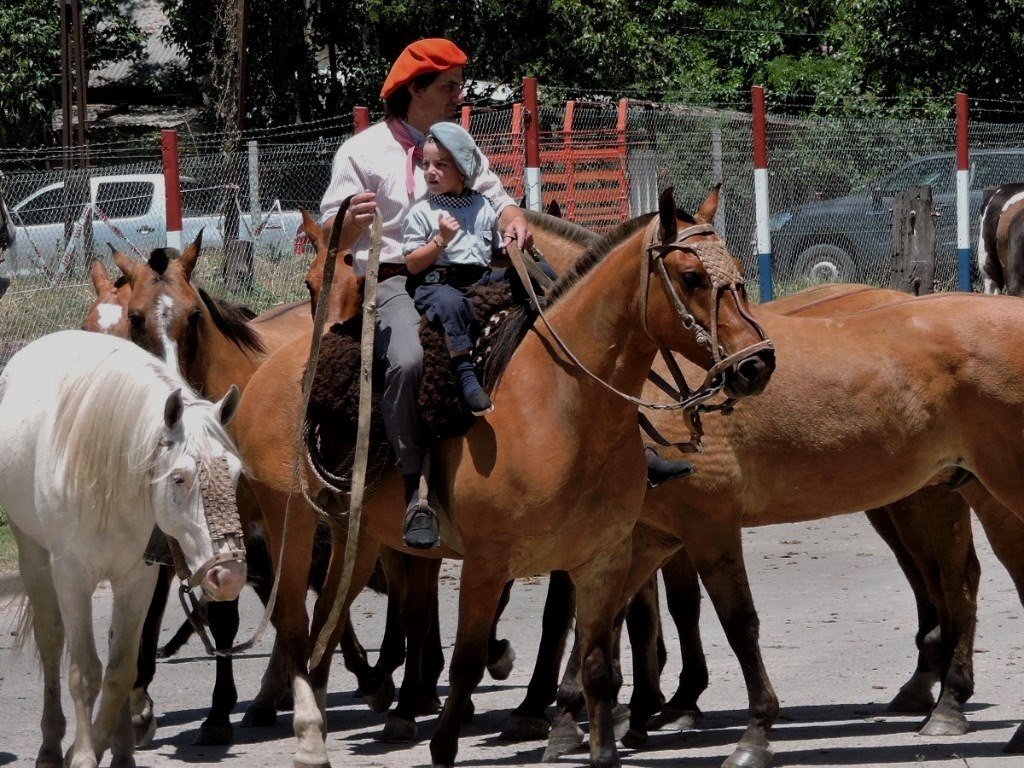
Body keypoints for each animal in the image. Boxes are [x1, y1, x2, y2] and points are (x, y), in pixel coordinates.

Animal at [0, 331, 246, 768]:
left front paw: (107, 748)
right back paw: (50, 748)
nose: (229, 574)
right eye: (179, 478)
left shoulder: (137, 578)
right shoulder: (71, 576)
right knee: (51, 643)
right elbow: (84, 672)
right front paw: (80, 755)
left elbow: (120, 670)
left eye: (234, 474)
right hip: (32, 553)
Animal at [232, 188, 774, 768]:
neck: (563, 401)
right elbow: (468, 657)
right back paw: (314, 729)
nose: (757, 363)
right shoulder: (487, 561)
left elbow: (597, 657)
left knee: (324, 624)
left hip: (354, 536)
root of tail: (275, 370)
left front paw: (598, 740)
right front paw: (448, 739)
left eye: (738, 272)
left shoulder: (602, 557)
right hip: (290, 524)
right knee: (293, 623)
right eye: (691, 277)